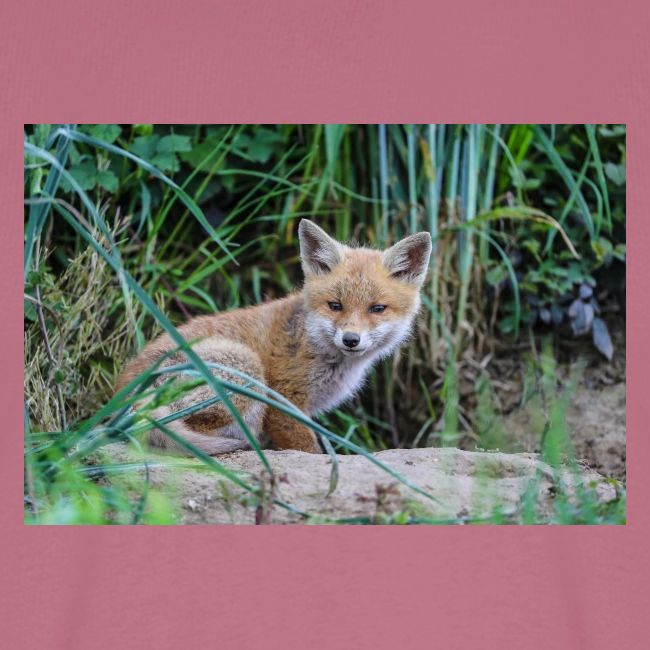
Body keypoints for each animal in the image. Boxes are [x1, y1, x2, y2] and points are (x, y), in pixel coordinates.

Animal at [116, 219, 432, 455]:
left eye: (377, 309)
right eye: (335, 305)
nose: (351, 339)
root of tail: (124, 396)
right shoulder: (283, 401)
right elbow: (308, 449)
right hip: (246, 368)